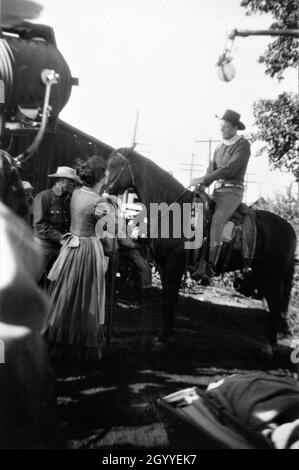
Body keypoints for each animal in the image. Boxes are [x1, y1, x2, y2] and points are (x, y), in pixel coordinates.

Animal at [108, 147, 298, 348]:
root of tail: (290, 230)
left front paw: (163, 337)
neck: (173, 212)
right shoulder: (162, 265)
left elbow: (170, 299)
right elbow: (168, 298)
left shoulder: (174, 265)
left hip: (273, 278)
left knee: (275, 307)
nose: (106, 190)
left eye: (115, 164)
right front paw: (164, 333)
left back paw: (270, 345)